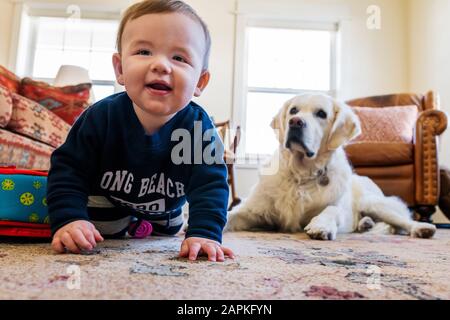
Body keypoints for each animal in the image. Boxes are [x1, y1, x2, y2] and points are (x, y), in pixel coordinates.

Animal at [227, 94, 438, 239]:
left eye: (321, 114)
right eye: (293, 110)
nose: (295, 122)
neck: (302, 175)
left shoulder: (337, 204)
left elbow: (331, 210)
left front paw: (321, 226)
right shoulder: (252, 210)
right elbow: (230, 215)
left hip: (373, 203)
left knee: (402, 221)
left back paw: (422, 228)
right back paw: (366, 224)